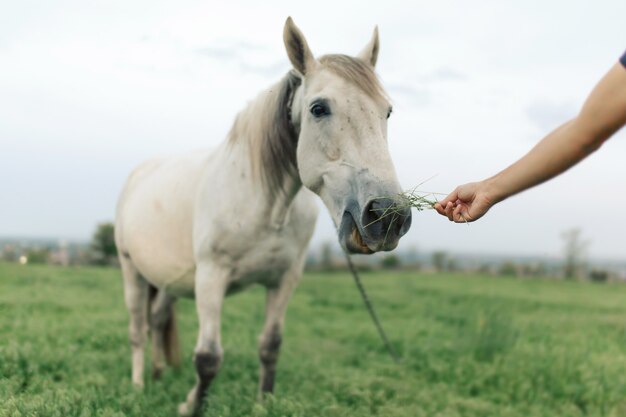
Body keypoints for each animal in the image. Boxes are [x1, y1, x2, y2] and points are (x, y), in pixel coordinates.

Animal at [115, 17, 412, 414]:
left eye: (387, 111)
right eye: (319, 108)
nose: (387, 216)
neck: (267, 206)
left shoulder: (284, 280)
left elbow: (270, 346)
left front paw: (263, 401)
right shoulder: (211, 277)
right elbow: (208, 358)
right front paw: (192, 405)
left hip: (166, 280)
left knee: (159, 318)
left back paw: (160, 374)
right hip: (130, 269)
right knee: (138, 329)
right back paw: (136, 386)